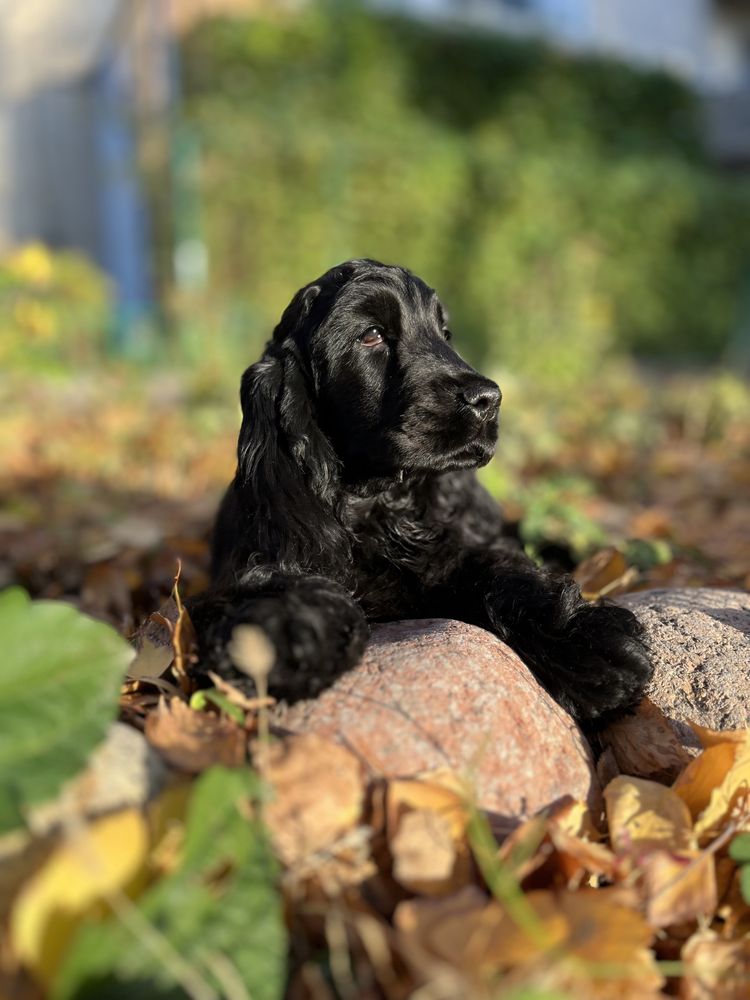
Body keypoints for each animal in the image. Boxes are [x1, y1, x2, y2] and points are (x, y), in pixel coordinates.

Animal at [187, 258, 652, 728]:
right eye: (371, 334)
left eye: (445, 333)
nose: (488, 399)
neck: (379, 500)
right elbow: (279, 583)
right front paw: (280, 637)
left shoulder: (457, 549)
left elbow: (507, 571)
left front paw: (588, 643)